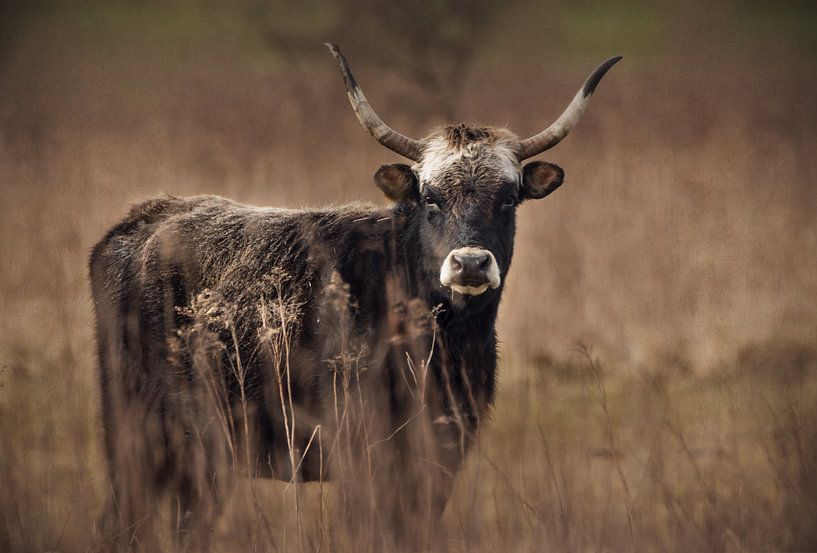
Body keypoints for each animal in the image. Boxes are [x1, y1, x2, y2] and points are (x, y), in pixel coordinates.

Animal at [87, 43, 620, 548]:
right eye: (430, 198)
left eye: (508, 199)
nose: (470, 263)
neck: (441, 343)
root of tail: (142, 219)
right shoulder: (362, 455)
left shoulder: (441, 456)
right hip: (136, 440)